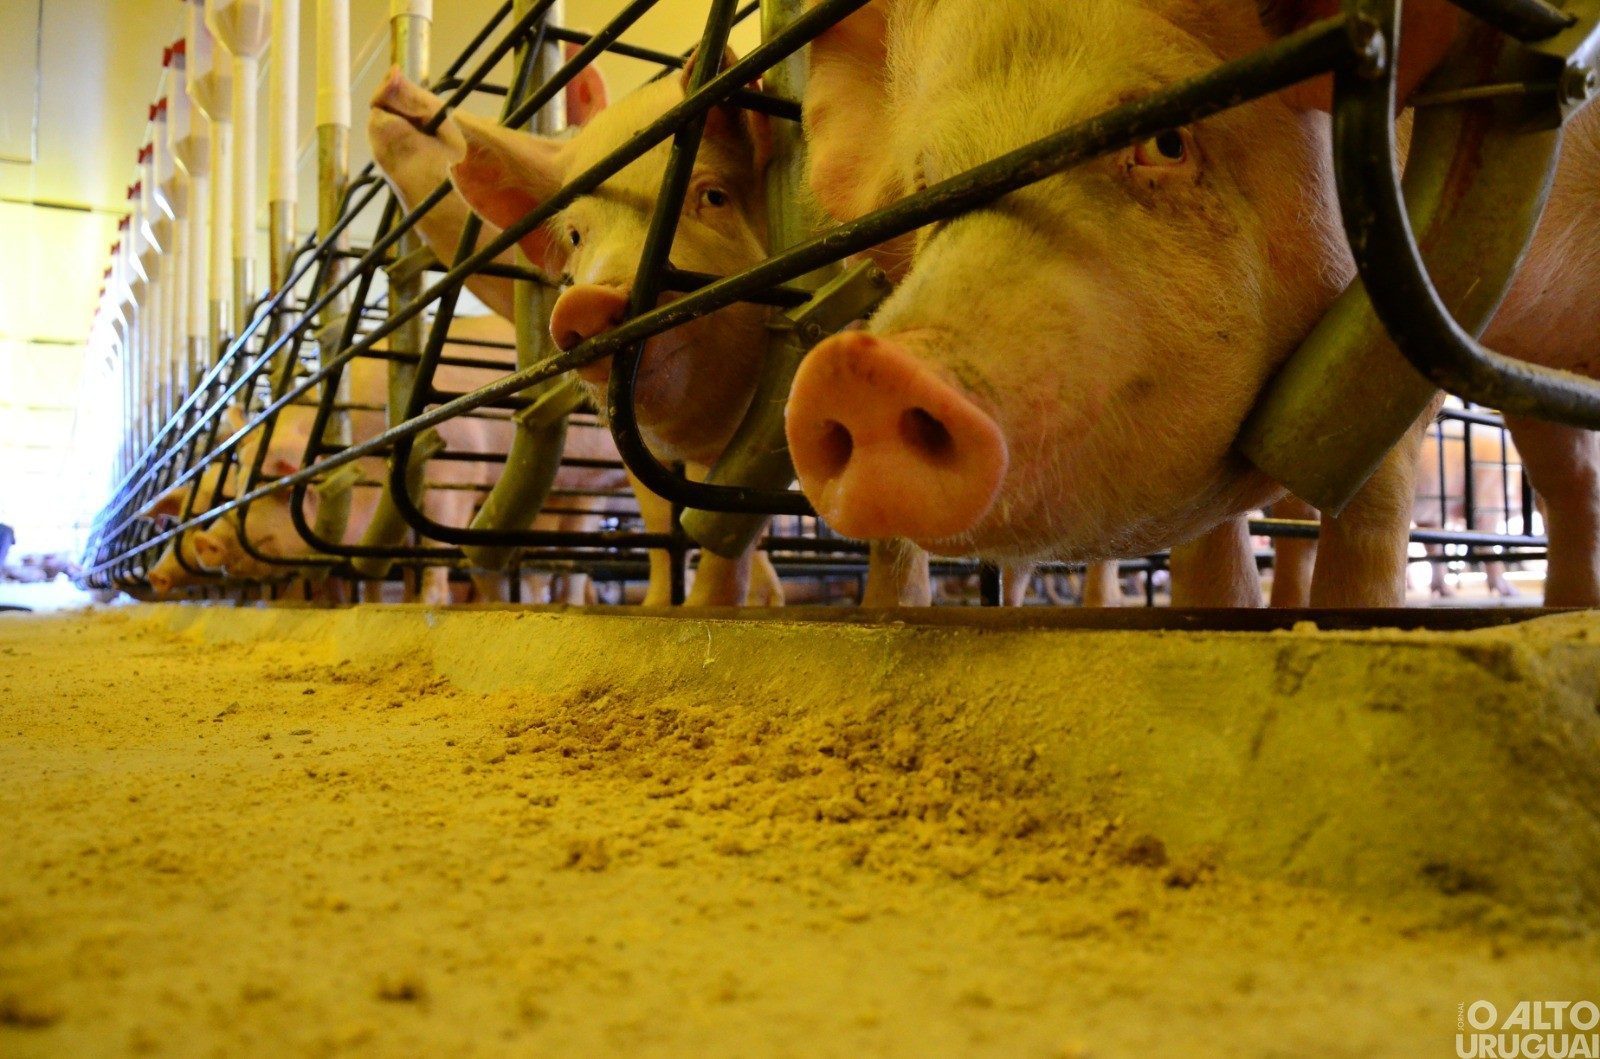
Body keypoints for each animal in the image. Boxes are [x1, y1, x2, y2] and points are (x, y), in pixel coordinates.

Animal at [785, 0, 1596, 608]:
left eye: (1167, 141)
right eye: (930, 192)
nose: (860, 366)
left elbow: (1369, 516)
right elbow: (1210, 553)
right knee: (1570, 482)